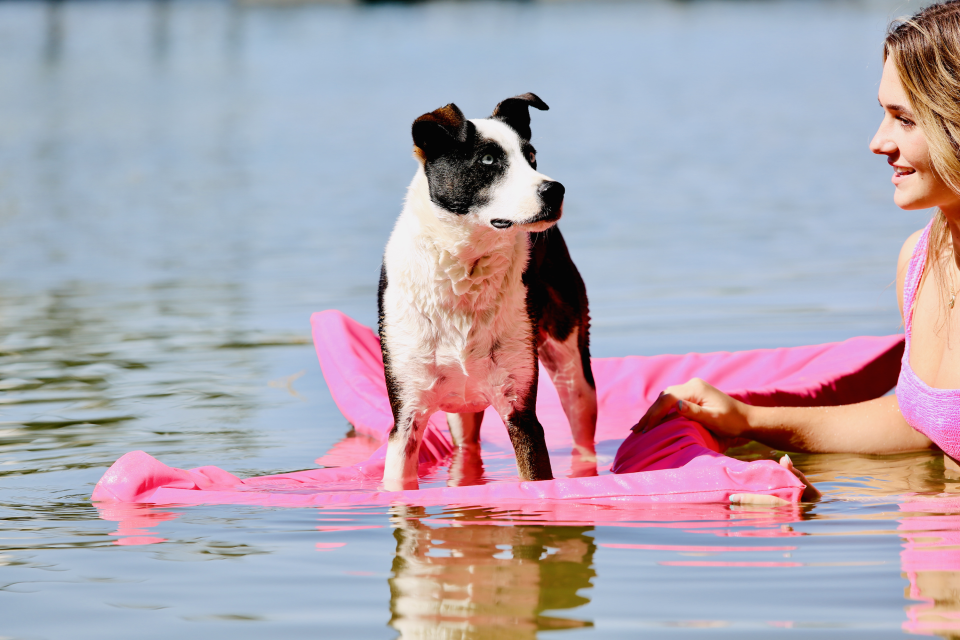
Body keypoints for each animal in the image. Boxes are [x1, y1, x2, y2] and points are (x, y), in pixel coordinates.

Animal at [378, 92, 596, 490]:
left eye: (532, 157)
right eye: (489, 160)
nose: (555, 189)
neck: (464, 270)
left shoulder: (521, 412)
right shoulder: (407, 416)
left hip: (572, 364)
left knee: (582, 427)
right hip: (458, 412)